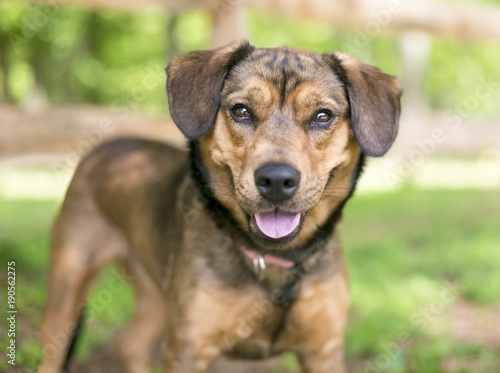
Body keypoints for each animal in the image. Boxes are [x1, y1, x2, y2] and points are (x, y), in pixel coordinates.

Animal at [41, 41, 404, 372]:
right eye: (241, 110)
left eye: (322, 116)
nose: (276, 180)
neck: (274, 258)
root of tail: (105, 147)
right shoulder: (188, 349)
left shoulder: (323, 351)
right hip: (68, 284)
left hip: (155, 292)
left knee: (130, 343)